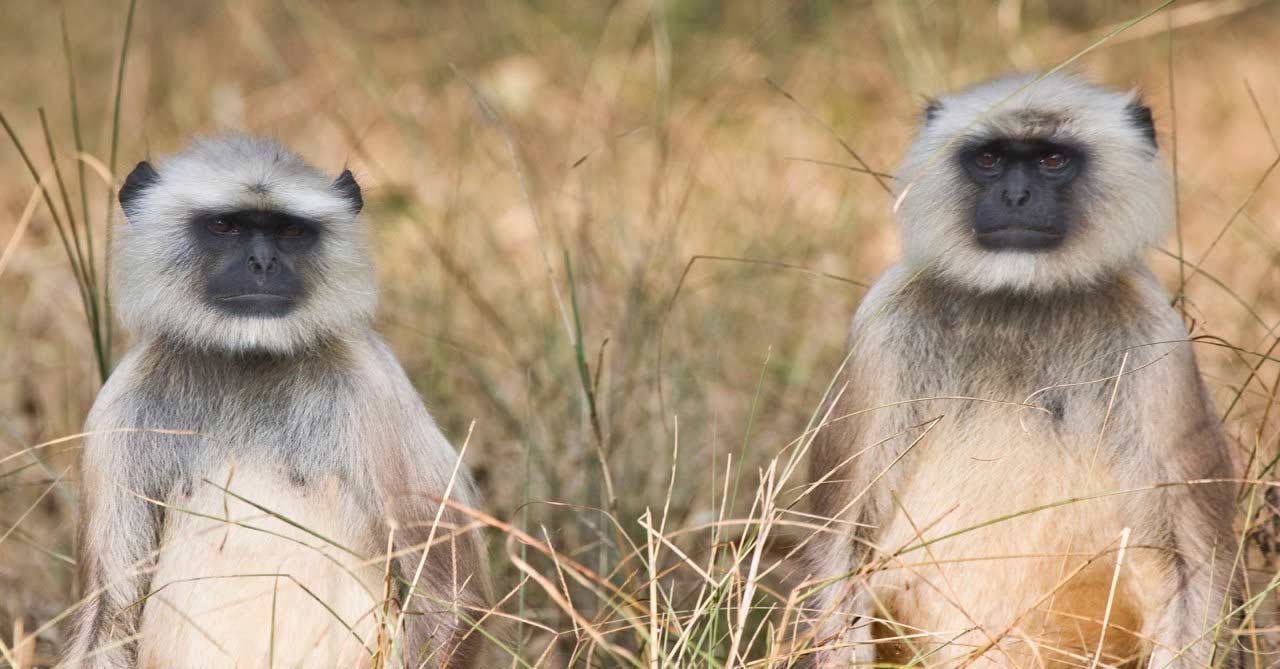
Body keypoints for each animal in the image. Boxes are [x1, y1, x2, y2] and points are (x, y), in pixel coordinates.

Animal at [63, 136, 488, 669]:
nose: (263, 264)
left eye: (289, 230)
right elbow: (111, 615)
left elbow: (450, 596)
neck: (248, 360)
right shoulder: (120, 407)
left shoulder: (372, 386)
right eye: (225, 226)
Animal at [808, 73, 1239, 669]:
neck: (1020, 299)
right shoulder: (884, 325)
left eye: (1052, 160)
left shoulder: (1156, 338)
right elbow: (842, 548)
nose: (1016, 197)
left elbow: (1192, 565)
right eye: (989, 159)